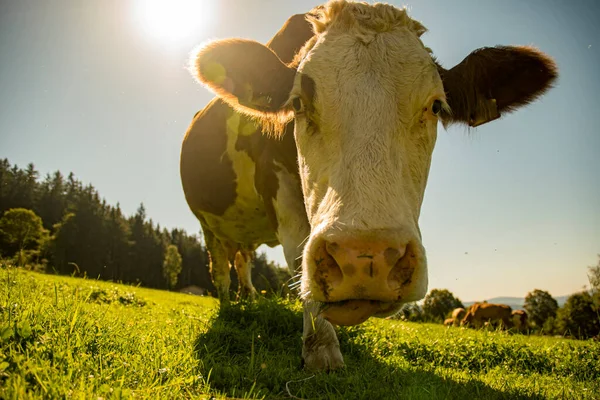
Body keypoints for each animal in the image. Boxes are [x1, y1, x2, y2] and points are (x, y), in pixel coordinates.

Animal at [182, 0, 556, 372]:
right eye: (298, 103)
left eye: (436, 105)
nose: (365, 258)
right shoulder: (278, 189)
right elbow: (298, 256)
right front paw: (322, 348)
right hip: (207, 225)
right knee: (221, 268)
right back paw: (230, 307)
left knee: (242, 260)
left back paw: (248, 300)